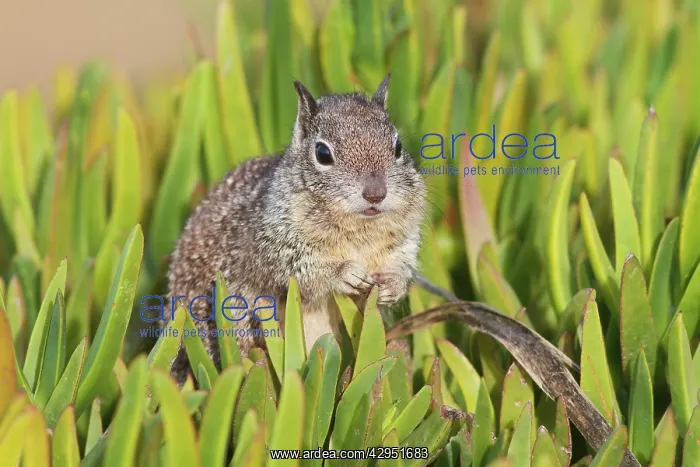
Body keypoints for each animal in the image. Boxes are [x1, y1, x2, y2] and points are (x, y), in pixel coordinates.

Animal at [163, 74, 426, 383]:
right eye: (322, 153)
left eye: (397, 147)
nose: (376, 194)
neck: (359, 231)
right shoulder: (267, 250)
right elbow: (297, 272)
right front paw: (343, 273)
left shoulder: (404, 242)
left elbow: (401, 264)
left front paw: (393, 285)